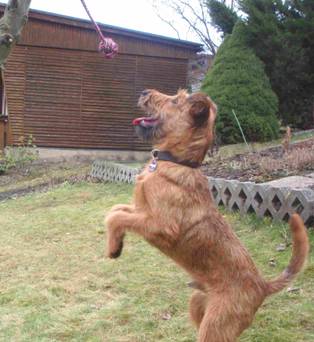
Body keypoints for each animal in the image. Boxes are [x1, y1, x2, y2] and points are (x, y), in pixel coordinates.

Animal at [105, 89, 310, 340]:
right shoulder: (141, 211)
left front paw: (113, 249)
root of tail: (263, 286)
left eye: (175, 101)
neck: (178, 163)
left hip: (215, 326)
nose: (144, 92)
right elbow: (116, 211)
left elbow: (115, 217)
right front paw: (116, 245)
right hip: (197, 305)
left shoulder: (160, 226)